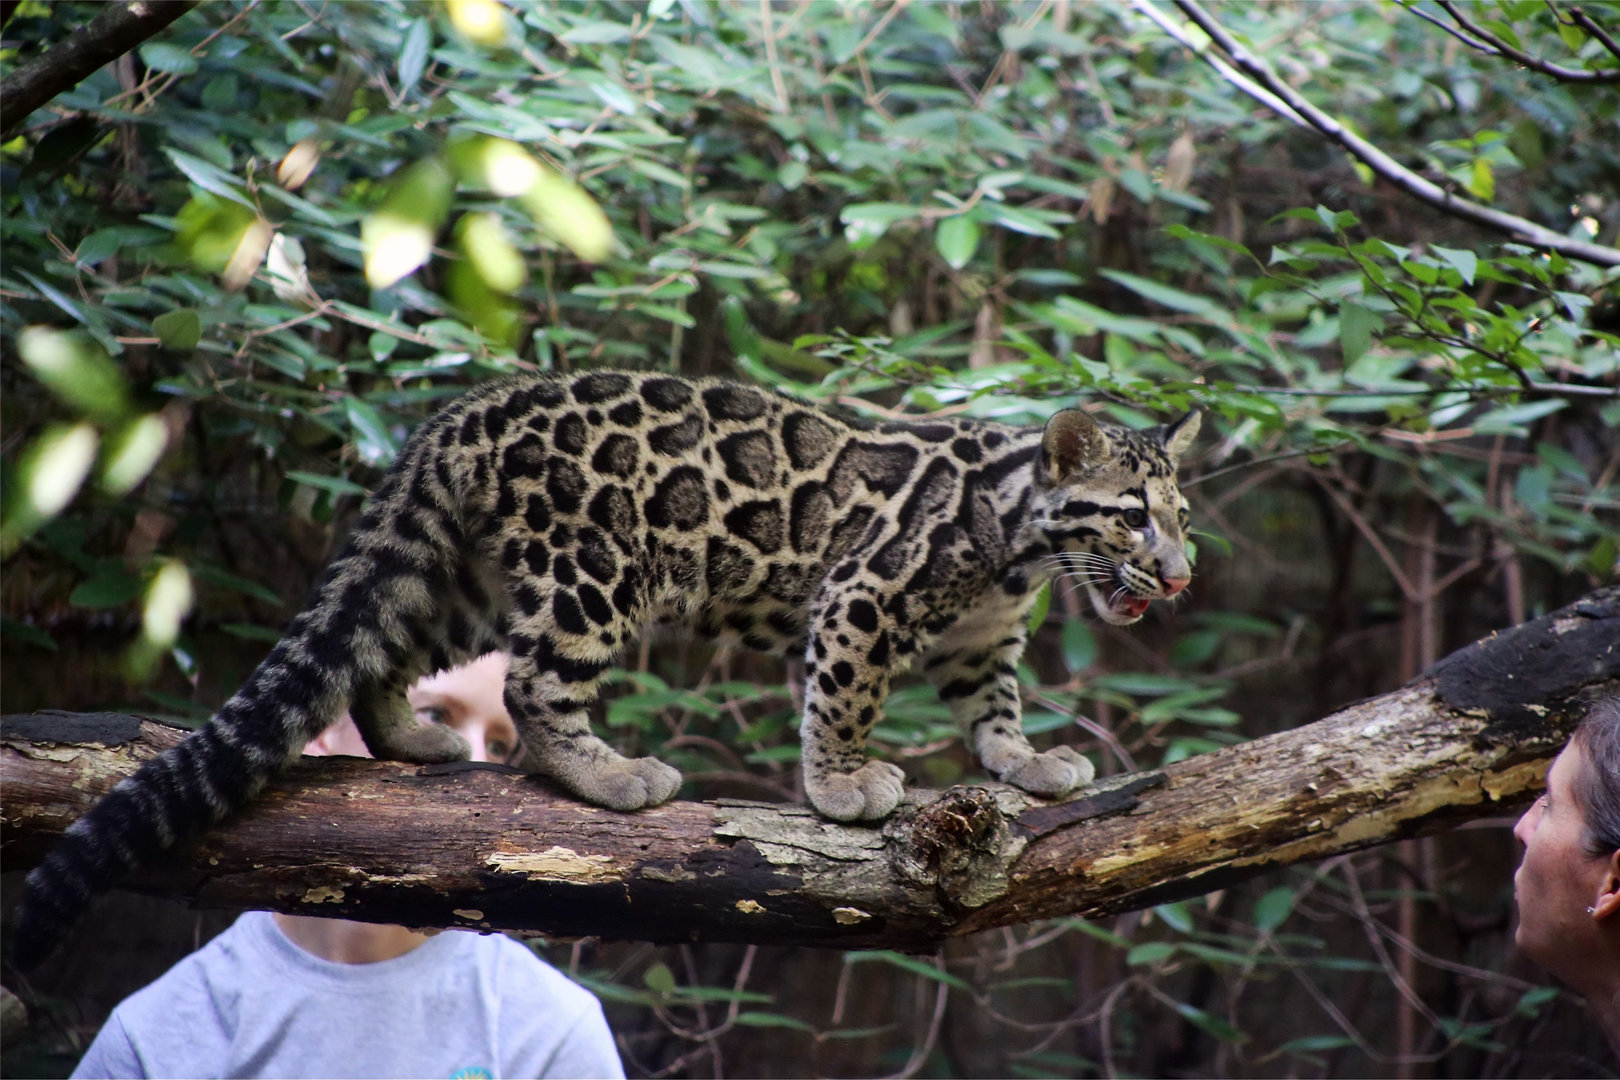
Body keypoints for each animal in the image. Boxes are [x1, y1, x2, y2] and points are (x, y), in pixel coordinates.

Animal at [14, 370, 1199, 967]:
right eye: (1134, 517)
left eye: (1182, 517)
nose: (1182, 575)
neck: (1021, 546)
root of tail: (460, 414)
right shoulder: (866, 595)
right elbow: (842, 698)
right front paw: (841, 788)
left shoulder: (980, 643)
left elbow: (995, 714)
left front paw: (1031, 765)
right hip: (594, 570)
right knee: (535, 686)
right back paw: (611, 776)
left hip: (467, 580)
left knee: (386, 648)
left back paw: (414, 738)